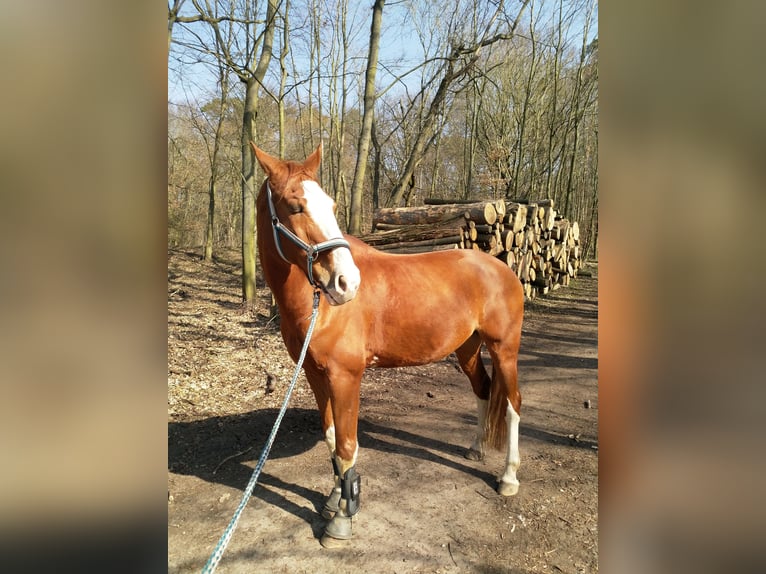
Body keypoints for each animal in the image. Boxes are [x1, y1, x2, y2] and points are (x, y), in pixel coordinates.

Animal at [252, 144, 528, 548]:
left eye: (331, 205)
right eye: (294, 206)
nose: (346, 283)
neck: (316, 306)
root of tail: (501, 267)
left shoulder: (346, 377)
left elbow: (347, 445)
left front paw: (342, 520)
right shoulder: (316, 376)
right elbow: (332, 439)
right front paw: (334, 498)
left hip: (504, 348)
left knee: (511, 404)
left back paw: (508, 478)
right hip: (467, 349)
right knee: (484, 390)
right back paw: (476, 449)